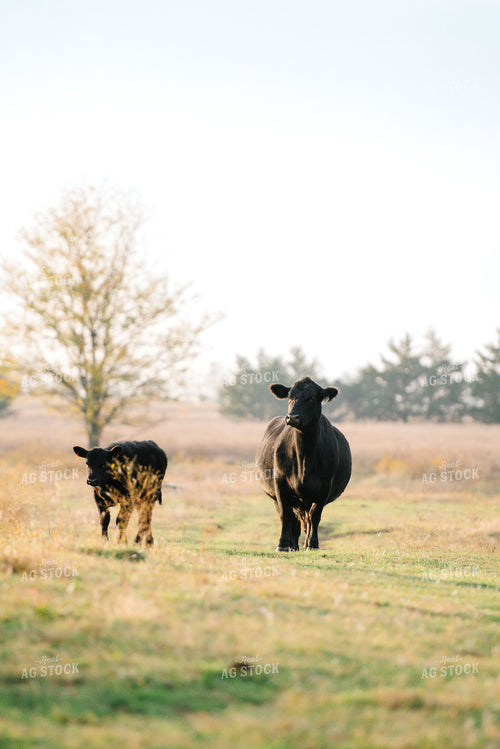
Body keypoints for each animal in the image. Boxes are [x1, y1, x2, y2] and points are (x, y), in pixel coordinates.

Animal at [256, 377, 351, 551]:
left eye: (312, 398)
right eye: (290, 397)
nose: (293, 417)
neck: (304, 457)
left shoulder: (325, 486)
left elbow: (315, 516)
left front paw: (313, 544)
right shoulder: (280, 482)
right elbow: (285, 514)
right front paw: (283, 545)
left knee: (306, 519)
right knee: (294, 519)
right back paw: (292, 545)